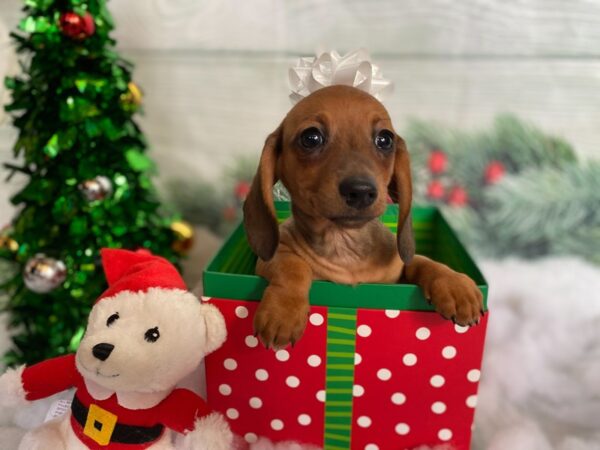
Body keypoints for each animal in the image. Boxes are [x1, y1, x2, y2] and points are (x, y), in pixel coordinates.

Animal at [244, 84, 482, 348]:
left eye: (385, 139)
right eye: (311, 137)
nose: (360, 191)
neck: (345, 246)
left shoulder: (399, 270)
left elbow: (423, 261)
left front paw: (455, 284)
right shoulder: (271, 257)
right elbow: (293, 265)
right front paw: (283, 311)